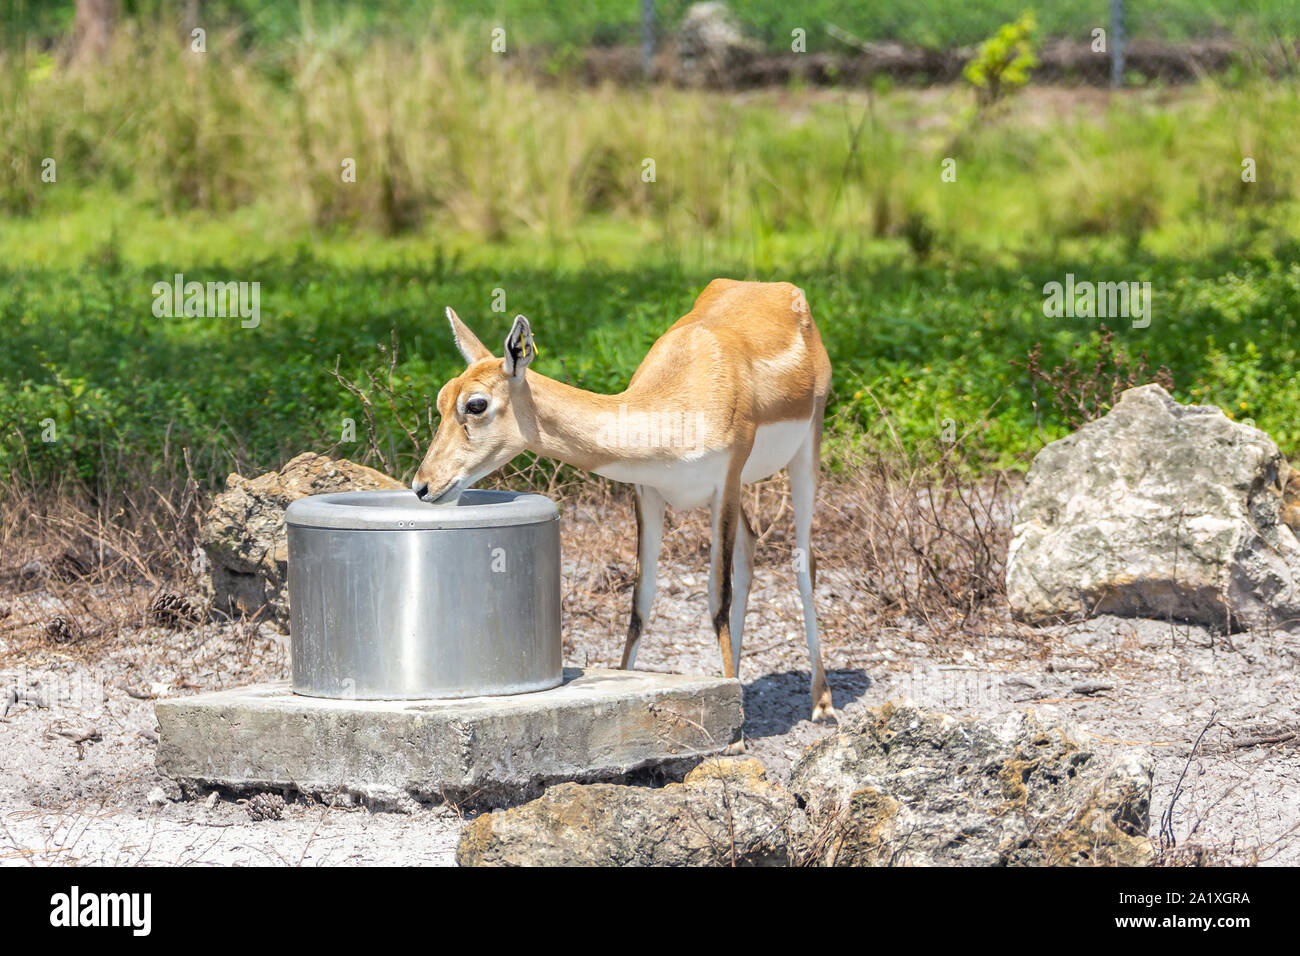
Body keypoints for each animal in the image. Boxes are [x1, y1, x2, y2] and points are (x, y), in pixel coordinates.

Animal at [412, 278, 836, 722]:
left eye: (475, 404)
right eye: (441, 398)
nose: (422, 485)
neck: (676, 405)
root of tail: (778, 289)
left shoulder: (726, 482)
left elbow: (718, 598)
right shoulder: (647, 493)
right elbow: (640, 600)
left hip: (805, 451)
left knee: (804, 562)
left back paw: (822, 702)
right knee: (750, 546)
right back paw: (738, 681)